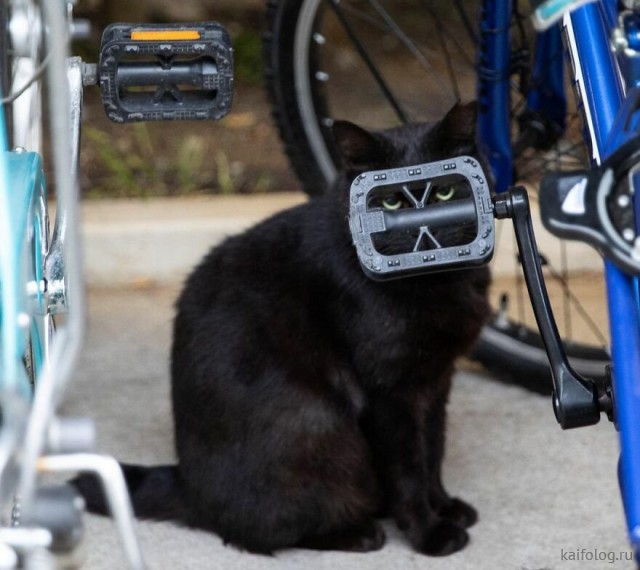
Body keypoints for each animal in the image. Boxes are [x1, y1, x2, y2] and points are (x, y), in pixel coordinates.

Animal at [72, 102, 491, 556]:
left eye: (446, 192)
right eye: (392, 201)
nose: (422, 231)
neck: (438, 284)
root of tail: (187, 486)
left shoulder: (435, 381)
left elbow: (433, 451)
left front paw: (445, 507)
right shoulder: (392, 393)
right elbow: (409, 468)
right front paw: (429, 533)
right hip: (319, 424)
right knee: (265, 530)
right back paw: (360, 532)